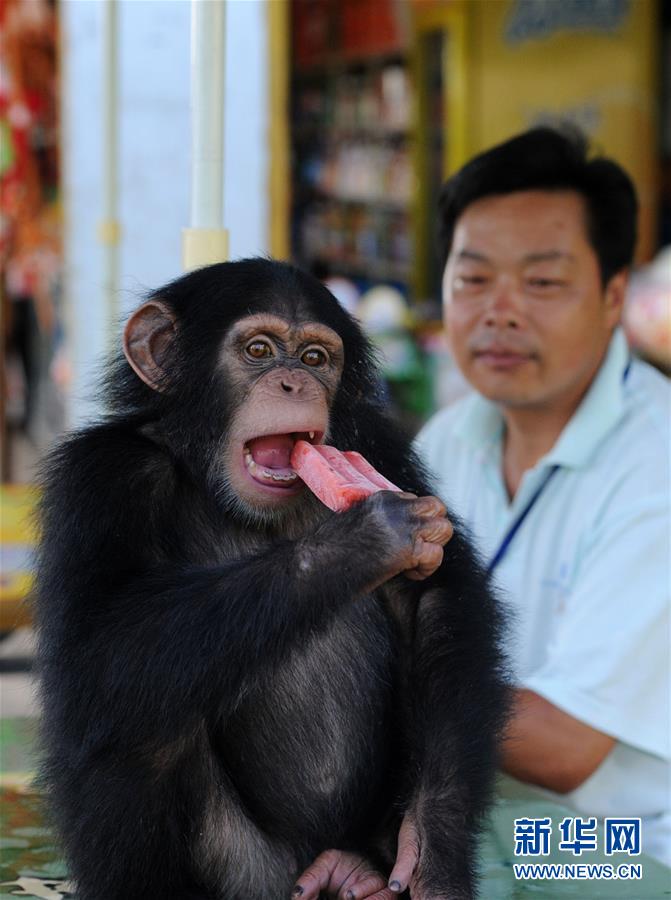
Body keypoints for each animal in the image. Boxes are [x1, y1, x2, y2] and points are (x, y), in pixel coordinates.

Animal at [34, 256, 506, 896]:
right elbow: (95, 649)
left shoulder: (379, 446)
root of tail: (318, 859)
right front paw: (371, 534)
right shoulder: (100, 477)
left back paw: (364, 871)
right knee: (144, 716)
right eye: (258, 349)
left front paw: (435, 847)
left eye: (314, 357)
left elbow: (437, 599)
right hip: (250, 872)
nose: (293, 383)